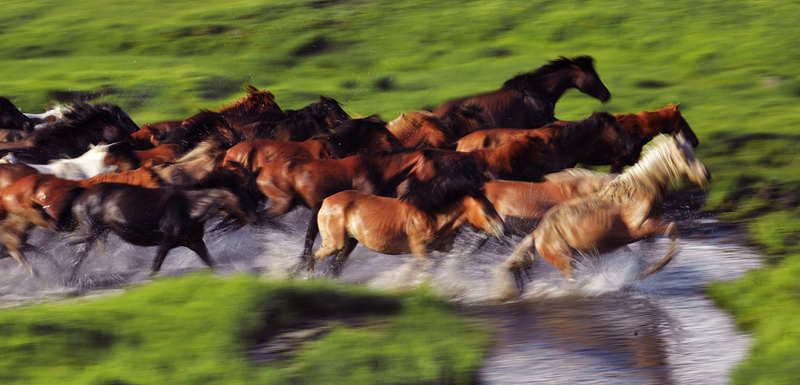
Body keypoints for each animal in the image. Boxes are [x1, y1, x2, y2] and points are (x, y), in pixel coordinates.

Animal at [68, 168, 260, 280]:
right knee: (72, 246)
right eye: (239, 196)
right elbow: (156, 266)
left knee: (79, 252)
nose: (255, 217)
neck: (190, 206)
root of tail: (81, 194)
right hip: (90, 231)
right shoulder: (166, 241)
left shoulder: (194, 242)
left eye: (246, 192)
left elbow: (210, 261)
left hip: (97, 233)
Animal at [432, 55, 612, 130]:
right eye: (593, 76)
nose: (606, 95)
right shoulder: (541, 122)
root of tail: (435, 111)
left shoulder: (548, 119)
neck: (537, 91)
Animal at [496, 134, 708, 300]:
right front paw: (649, 272)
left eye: (692, 152)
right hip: (566, 260)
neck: (638, 192)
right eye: (684, 156)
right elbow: (672, 230)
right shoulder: (641, 228)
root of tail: (537, 233)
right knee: (571, 282)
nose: (706, 174)